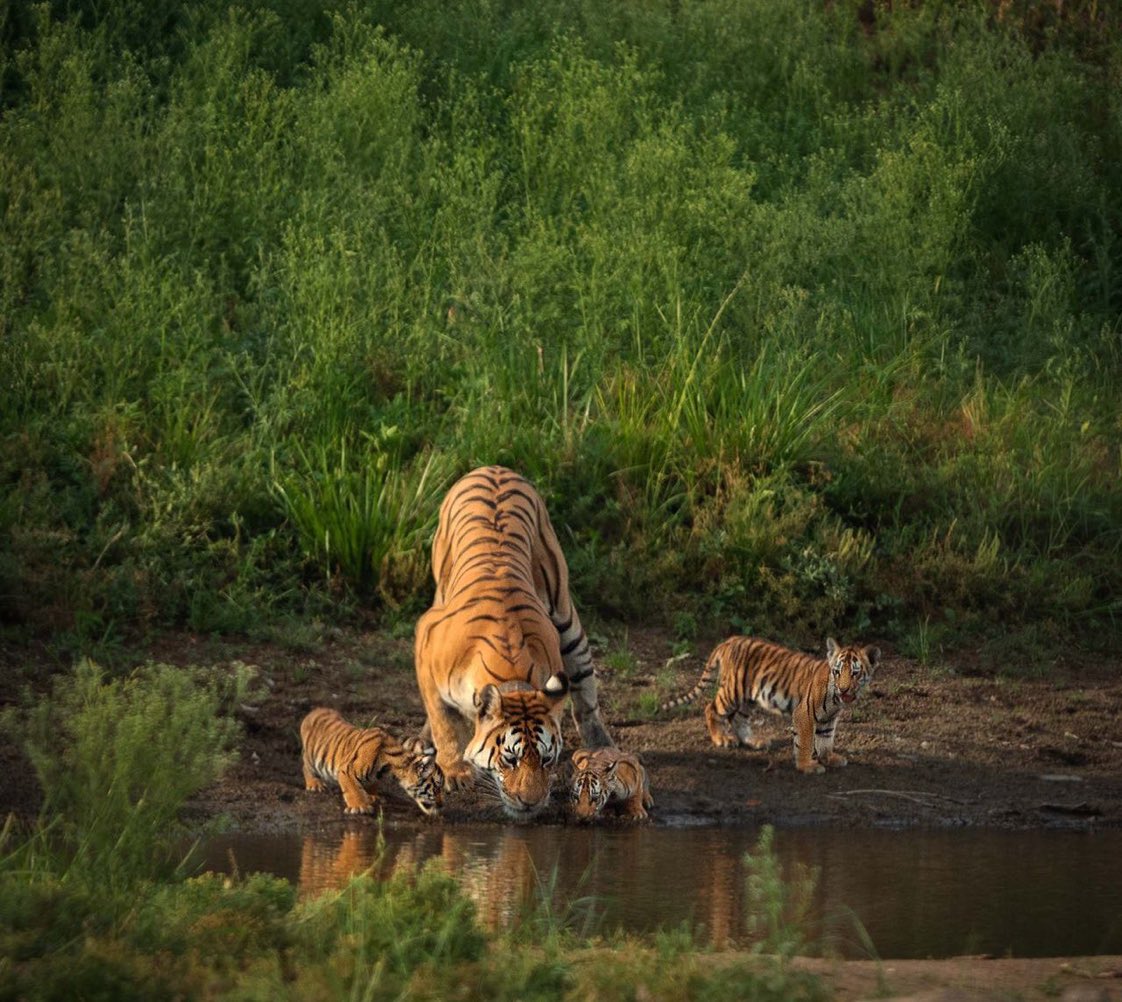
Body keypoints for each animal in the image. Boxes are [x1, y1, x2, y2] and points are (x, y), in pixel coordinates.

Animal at [299, 707, 444, 816]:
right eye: (437, 787)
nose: (442, 805)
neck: (389, 769)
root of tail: (316, 710)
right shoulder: (347, 769)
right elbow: (352, 789)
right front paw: (359, 806)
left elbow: (370, 785)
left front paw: (372, 797)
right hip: (312, 756)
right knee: (305, 765)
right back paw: (314, 784)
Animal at [414, 465, 613, 821]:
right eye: (510, 759)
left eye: (547, 759)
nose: (531, 802)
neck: (511, 674)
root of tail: (492, 467)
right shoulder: (426, 643)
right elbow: (444, 721)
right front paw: (455, 771)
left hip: (564, 616)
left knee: (585, 685)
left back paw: (600, 744)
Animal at [661, 636, 881, 774]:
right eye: (837, 671)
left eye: (855, 673)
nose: (843, 690)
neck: (836, 699)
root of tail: (729, 640)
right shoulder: (804, 713)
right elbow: (806, 742)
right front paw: (807, 766)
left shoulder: (828, 719)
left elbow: (826, 740)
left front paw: (830, 759)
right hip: (732, 692)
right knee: (711, 709)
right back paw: (721, 739)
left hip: (748, 699)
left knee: (738, 719)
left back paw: (753, 741)